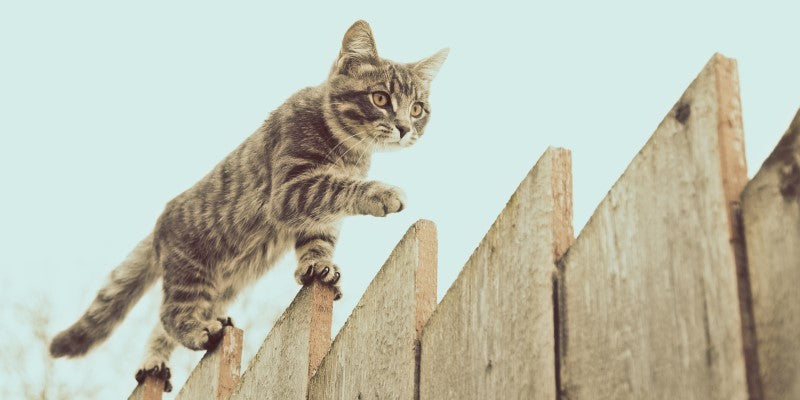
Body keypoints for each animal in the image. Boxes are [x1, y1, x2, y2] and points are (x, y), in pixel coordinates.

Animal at [48, 20, 450, 392]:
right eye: (380, 98)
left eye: (417, 109)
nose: (404, 127)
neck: (348, 149)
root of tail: (161, 222)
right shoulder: (292, 190)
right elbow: (335, 187)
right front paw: (381, 192)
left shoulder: (314, 215)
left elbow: (318, 239)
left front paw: (317, 265)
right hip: (192, 271)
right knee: (170, 315)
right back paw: (199, 332)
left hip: (224, 284)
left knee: (162, 326)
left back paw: (156, 362)